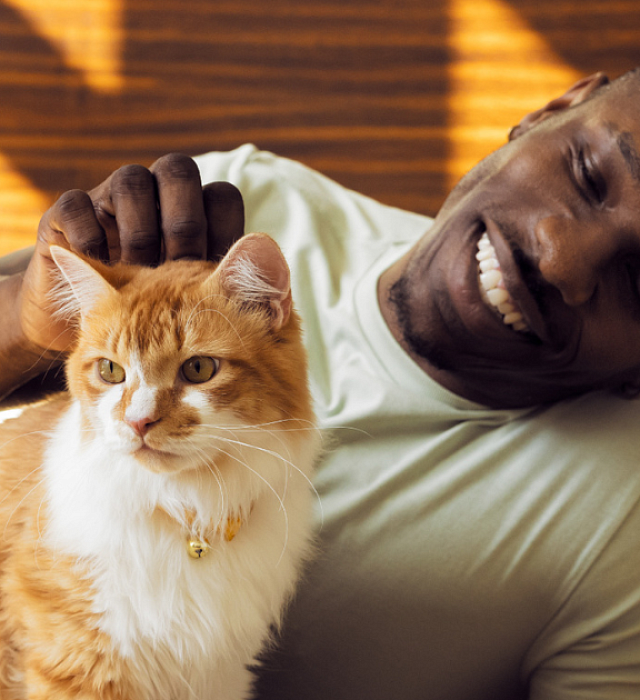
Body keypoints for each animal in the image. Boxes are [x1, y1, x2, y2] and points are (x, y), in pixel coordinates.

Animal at [0, 234, 320, 700]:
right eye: (110, 371)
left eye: (199, 369)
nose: (139, 422)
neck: (186, 509)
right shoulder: (78, 663)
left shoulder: (219, 673)